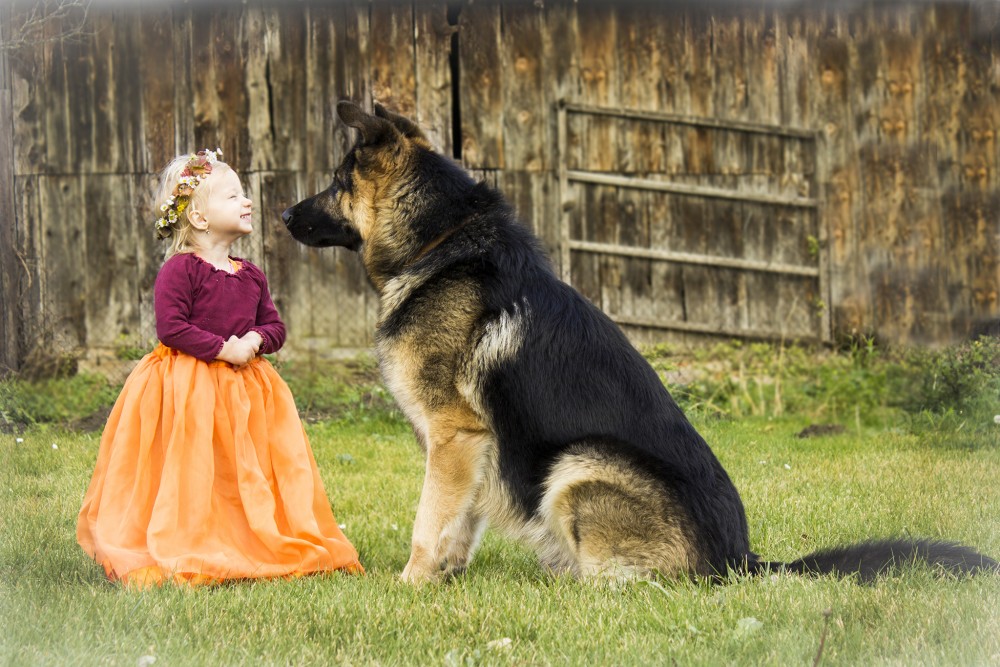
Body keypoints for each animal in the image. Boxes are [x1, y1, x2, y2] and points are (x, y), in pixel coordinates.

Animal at [282, 103, 992, 584]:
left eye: (338, 183)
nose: (284, 214)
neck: (440, 239)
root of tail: (745, 561)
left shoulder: (457, 435)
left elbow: (429, 524)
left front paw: (409, 585)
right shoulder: (476, 448)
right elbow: (462, 522)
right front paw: (445, 579)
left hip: (579, 464)